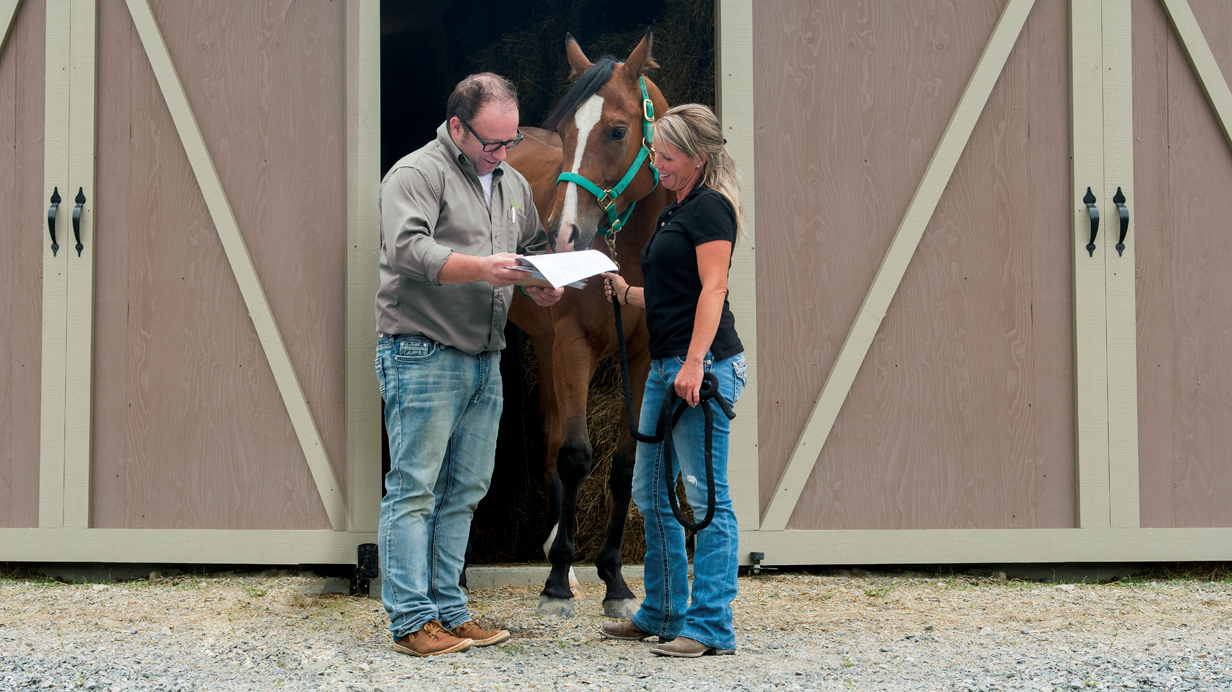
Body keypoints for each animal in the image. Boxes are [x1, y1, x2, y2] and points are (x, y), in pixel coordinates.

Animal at [502, 30, 670, 613]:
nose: (562, 234)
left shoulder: (642, 357)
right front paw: (555, 583)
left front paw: (614, 581)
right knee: (553, 444)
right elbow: (575, 457)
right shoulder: (573, 345)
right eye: (566, 131)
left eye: (617, 130)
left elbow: (624, 466)